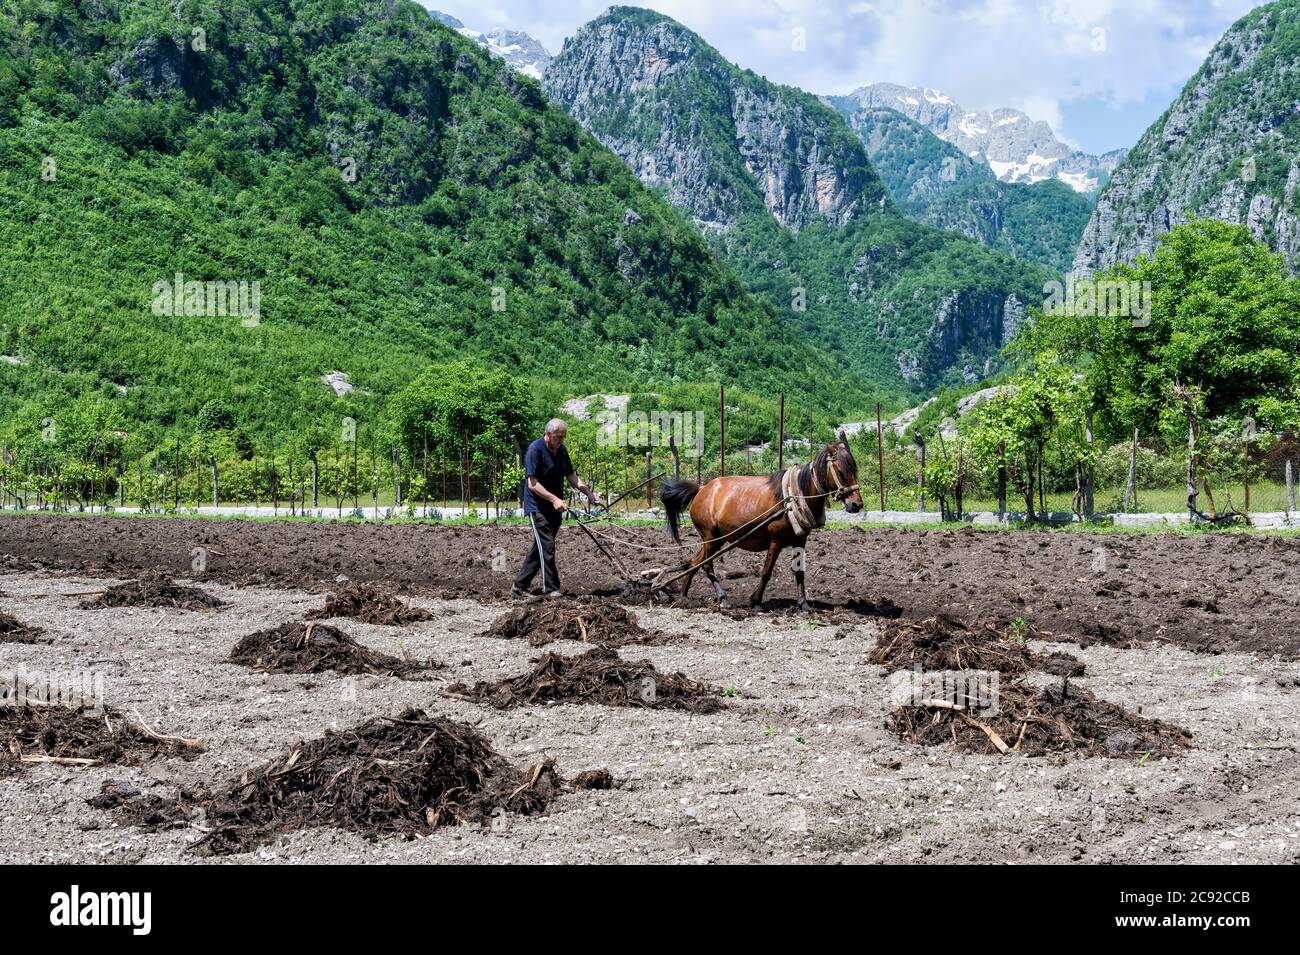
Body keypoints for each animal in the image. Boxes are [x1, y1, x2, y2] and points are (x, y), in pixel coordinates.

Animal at [660, 428, 863, 608]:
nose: (857, 505)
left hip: (717, 539)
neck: (792, 499)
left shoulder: (800, 540)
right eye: (840, 470)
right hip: (710, 537)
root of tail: (702, 489)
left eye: (855, 469)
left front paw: (803, 604)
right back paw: (722, 598)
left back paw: (683, 596)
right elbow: (766, 571)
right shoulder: (775, 540)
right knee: (706, 565)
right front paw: (756, 601)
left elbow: (799, 572)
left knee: (694, 563)